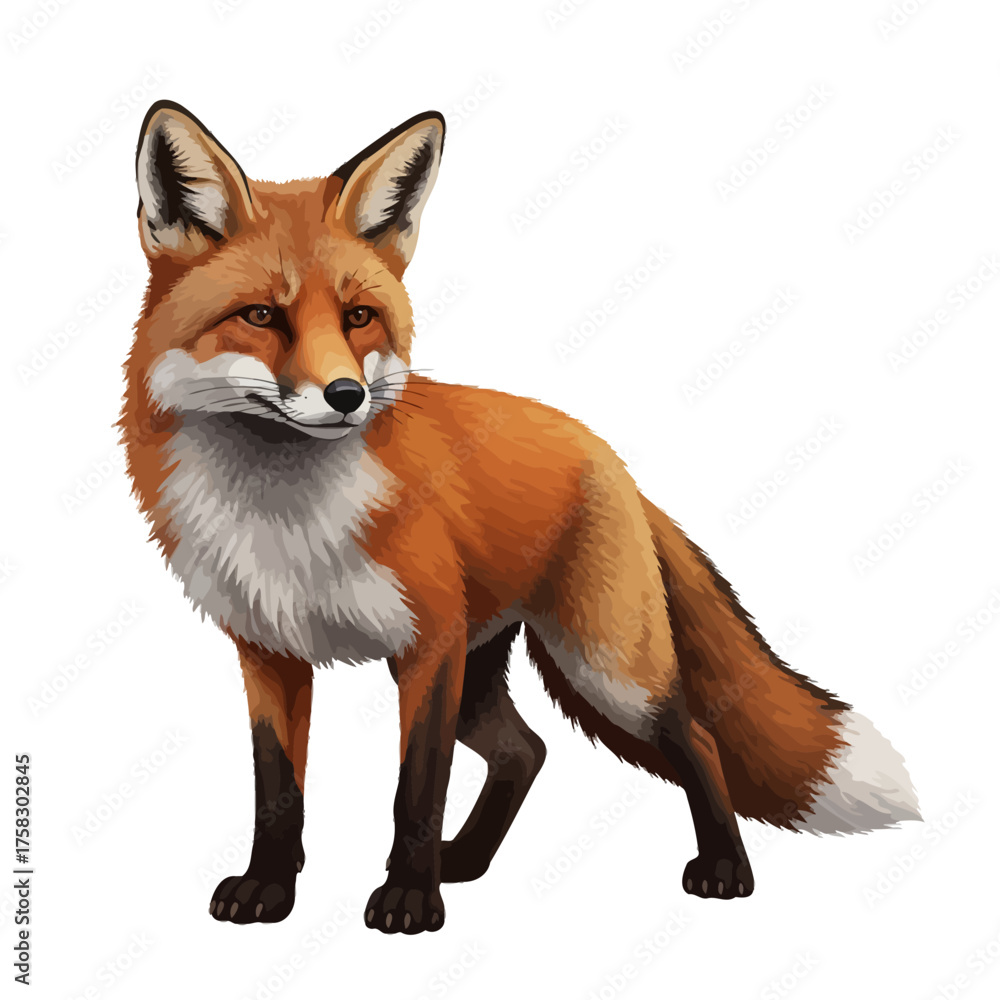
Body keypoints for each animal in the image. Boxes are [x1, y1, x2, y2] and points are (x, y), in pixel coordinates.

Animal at [120, 100, 920, 933]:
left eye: (358, 317)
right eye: (261, 316)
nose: (347, 397)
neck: (287, 517)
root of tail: (607, 456)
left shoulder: (428, 646)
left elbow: (417, 789)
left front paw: (410, 898)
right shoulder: (270, 653)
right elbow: (277, 792)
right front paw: (270, 887)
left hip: (604, 667)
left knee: (693, 735)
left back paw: (725, 869)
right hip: (491, 674)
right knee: (525, 750)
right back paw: (466, 859)